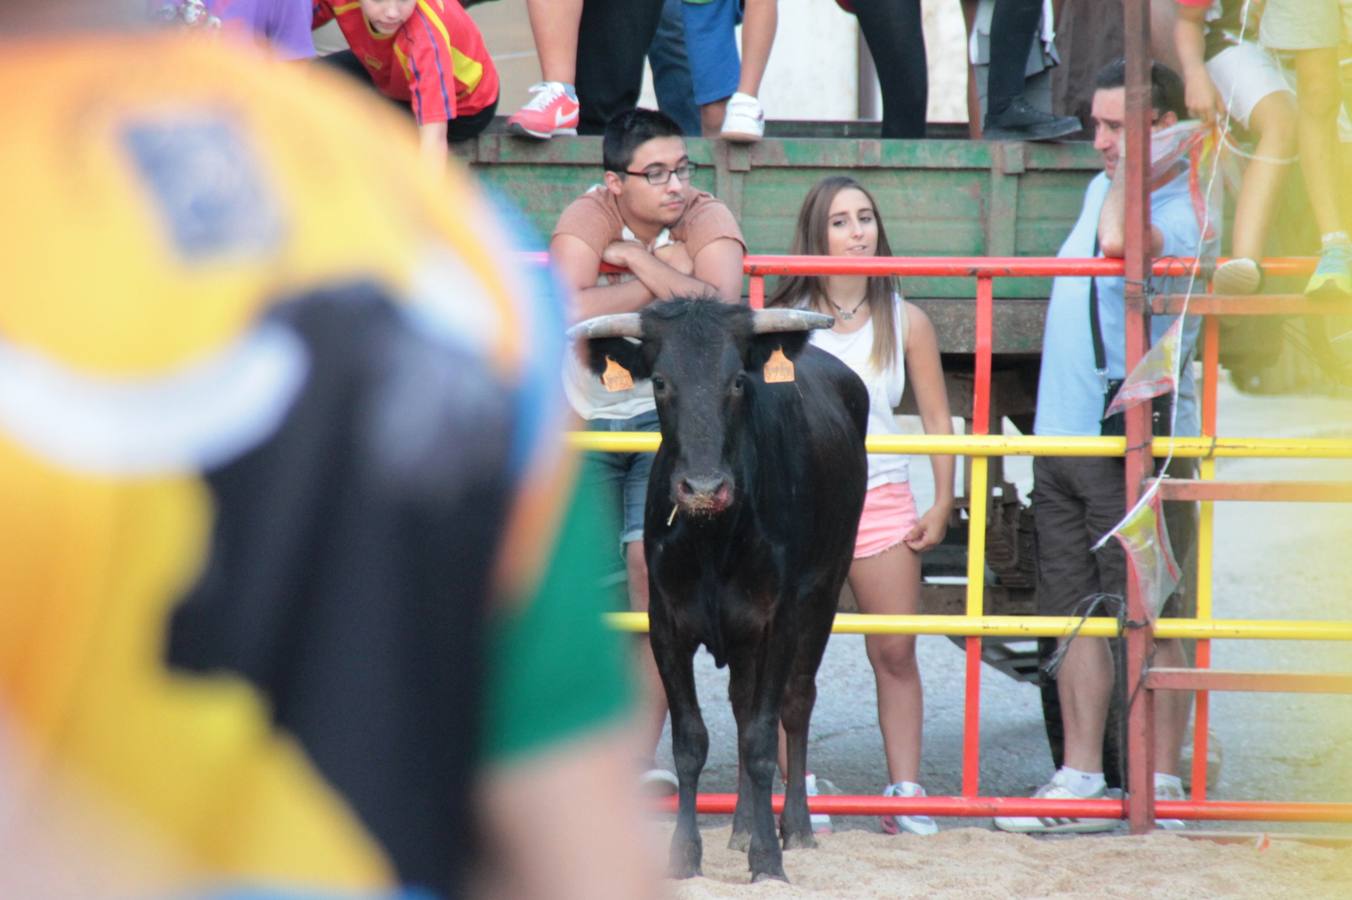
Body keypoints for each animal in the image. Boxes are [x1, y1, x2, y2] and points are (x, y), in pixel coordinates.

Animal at [570, 297, 865, 881]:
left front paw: (768, 860)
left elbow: (761, 738)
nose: (704, 488)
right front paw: (684, 856)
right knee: (741, 703)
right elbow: (691, 740)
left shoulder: (779, 621)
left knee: (795, 703)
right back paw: (742, 826)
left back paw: (795, 826)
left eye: (737, 382)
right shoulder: (666, 624)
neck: (713, 537)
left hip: (824, 591)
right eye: (661, 381)